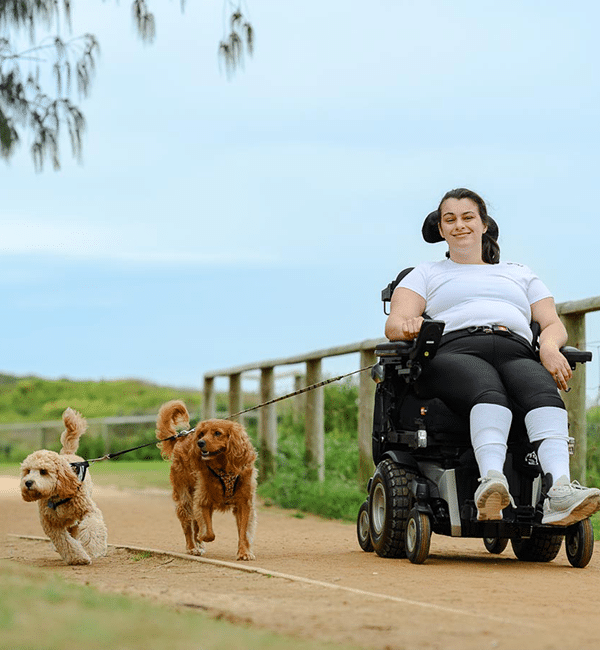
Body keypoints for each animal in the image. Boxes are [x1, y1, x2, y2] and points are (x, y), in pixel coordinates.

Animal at [19, 408, 108, 564]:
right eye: (27, 471)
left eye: (43, 471)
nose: (28, 482)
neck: (57, 495)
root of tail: (67, 454)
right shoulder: (51, 525)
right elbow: (64, 542)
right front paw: (77, 558)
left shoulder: (88, 510)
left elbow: (92, 526)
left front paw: (93, 547)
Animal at [156, 398, 256, 560]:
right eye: (202, 434)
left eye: (217, 433)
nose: (200, 442)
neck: (224, 468)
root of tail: (180, 439)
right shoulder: (202, 501)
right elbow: (208, 532)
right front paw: (202, 538)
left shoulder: (244, 503)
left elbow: (243, 532)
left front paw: (244, 552)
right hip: (185, 500)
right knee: (188, 526)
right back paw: (192, 547)